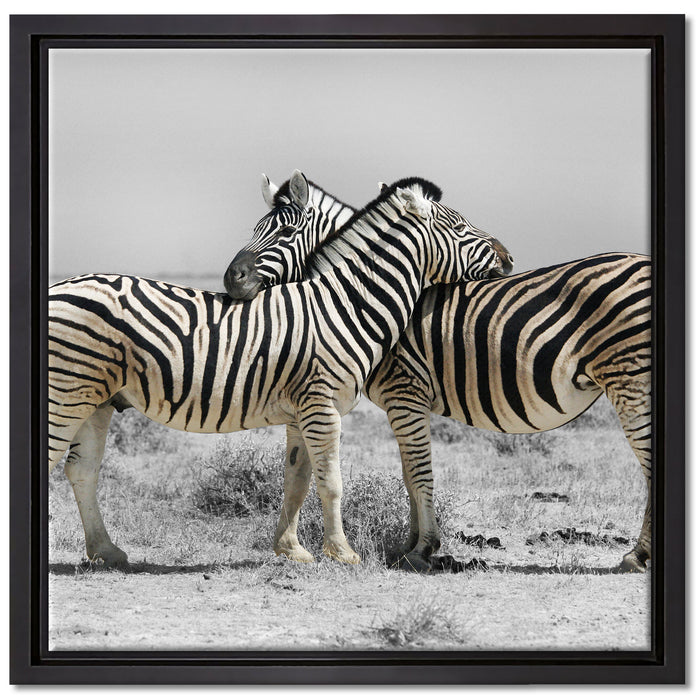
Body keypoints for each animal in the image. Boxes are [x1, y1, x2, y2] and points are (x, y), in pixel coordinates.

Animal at [49, 173, 510, 567]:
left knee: (81, 470)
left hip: (97, 400)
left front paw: (291, 550)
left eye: (285, 232)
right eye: (461, 227)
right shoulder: (323, 406)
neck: (343, 305)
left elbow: (297, 479)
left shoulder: (302, 410)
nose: (507, 258)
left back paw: (107, 551)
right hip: (66, 393)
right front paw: (343, 553)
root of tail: (59, 286)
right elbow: (330, 481)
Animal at [224, 179, 651, 574]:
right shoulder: (402, 404)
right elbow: (408, 475)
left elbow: (419, 473)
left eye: (284, 232)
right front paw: (410, 545)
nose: (231, 280)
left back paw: (637, 555)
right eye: (256, 228)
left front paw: (423, 549)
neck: (359, 297)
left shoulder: (405, 393)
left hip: (630, 379)